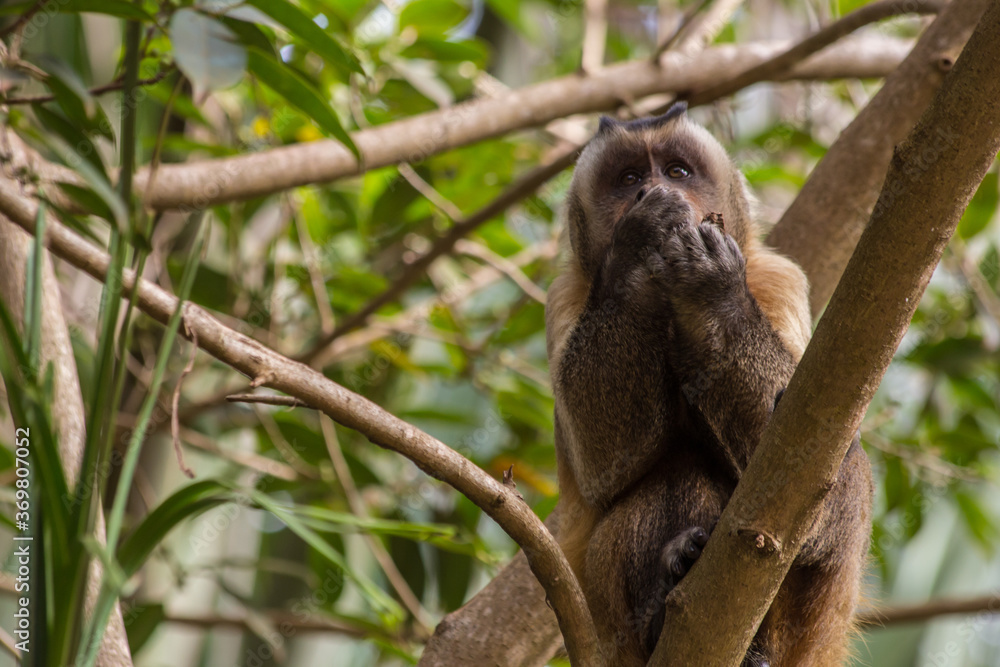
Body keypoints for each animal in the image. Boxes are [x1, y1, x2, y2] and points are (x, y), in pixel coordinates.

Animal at [545, 103, 873, 666]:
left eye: (677, 171)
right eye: (628, 178)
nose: (650, 190)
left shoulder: (779, 279)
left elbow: (803, 420)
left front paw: (712, 294)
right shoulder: (563, 296)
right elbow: (601, 466)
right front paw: (639, 242)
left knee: (843, 463)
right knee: (676, 471)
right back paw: (670, 594)